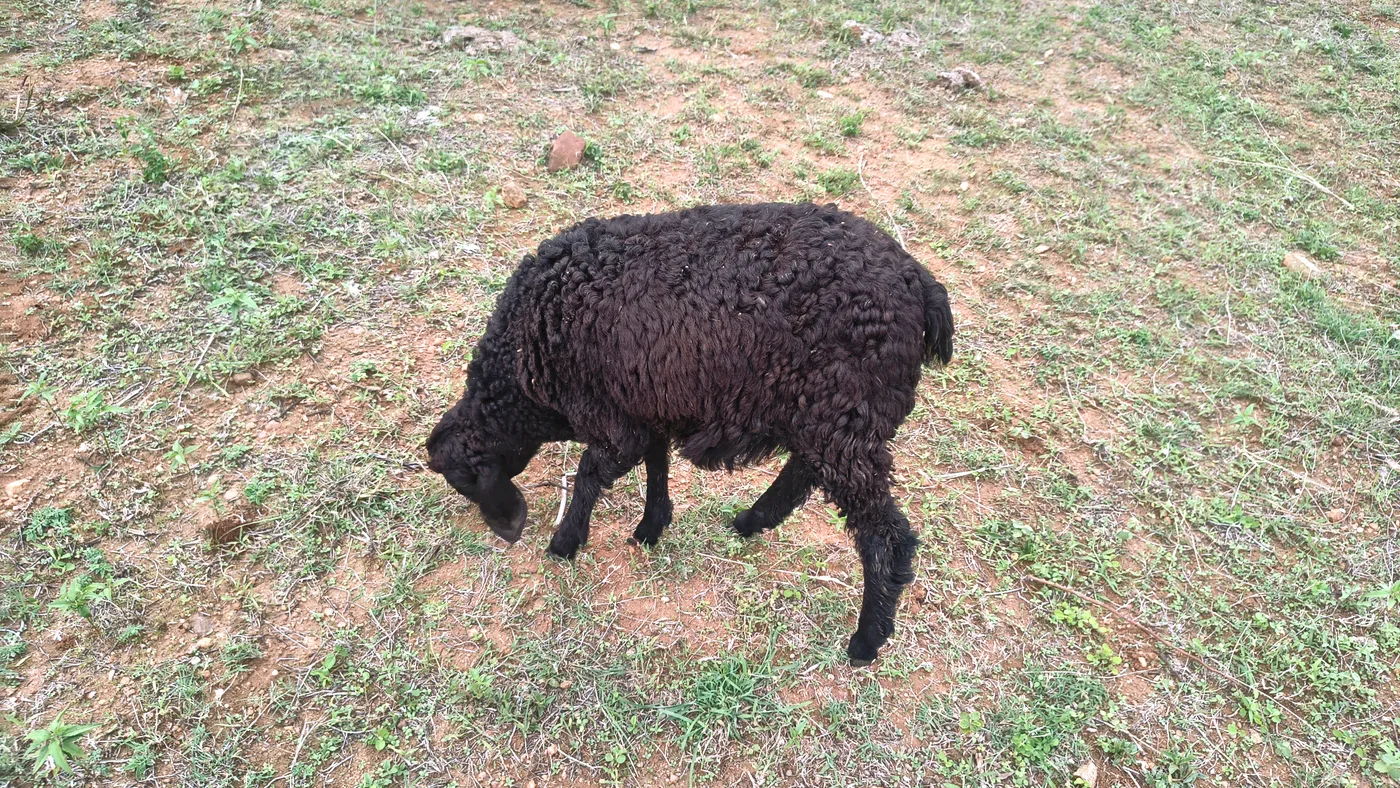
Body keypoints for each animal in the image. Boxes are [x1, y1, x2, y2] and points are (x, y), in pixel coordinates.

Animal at [427, 202, 954, 666]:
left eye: (463, 480)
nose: (503, 529)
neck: (524, 355)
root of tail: (922, 286)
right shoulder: (645, 403)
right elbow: (655, 463)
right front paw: (651, 527)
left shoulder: (612, 417)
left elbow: (590, 473)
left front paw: (565, 542)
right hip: (829, 413)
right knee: (805, 472)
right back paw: (751, 520)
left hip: (845, 414)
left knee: (884, 534)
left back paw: (866, 641)